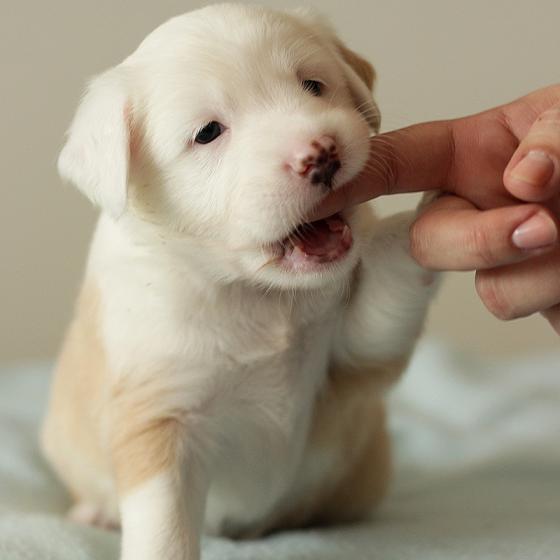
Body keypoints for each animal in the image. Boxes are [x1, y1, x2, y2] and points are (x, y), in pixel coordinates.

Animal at [41, 4, 438, 560]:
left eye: (313, 86)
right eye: (208, 133)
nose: (323, 154)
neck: (256, 295)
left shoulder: (351, 353)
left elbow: (386, 292)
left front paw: (432, 212)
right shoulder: (161, 414)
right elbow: (164, 529)